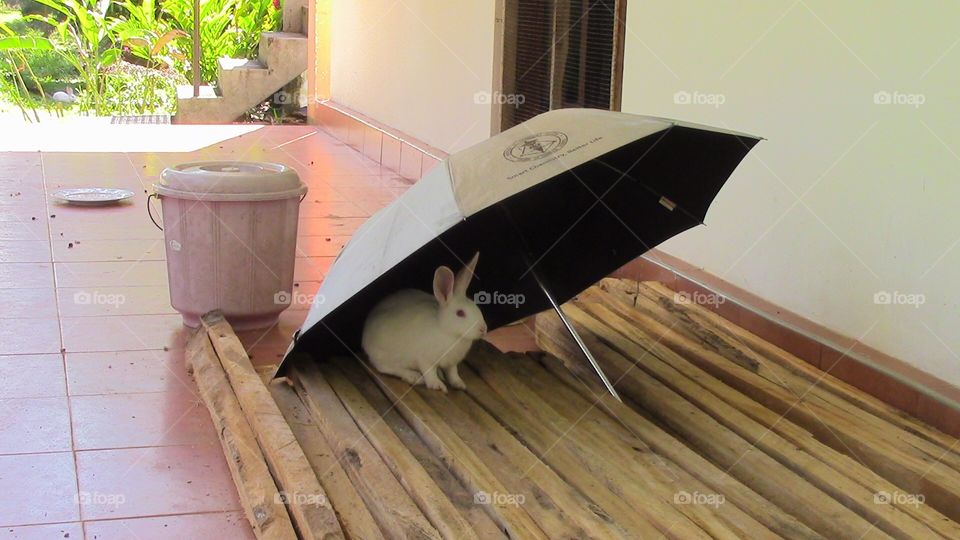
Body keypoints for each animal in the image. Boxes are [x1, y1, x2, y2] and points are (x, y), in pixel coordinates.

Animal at [362, 252, 487, 392]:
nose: (483, 329)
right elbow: (429, 373)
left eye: (476, 307)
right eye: (460, 313)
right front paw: (437, 386)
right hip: (384, 354)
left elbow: (453, 373)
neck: (448, 332)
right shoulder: (425, 359)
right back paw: (414, 376)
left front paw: (459, 384)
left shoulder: (451, 363)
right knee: (385, 367)